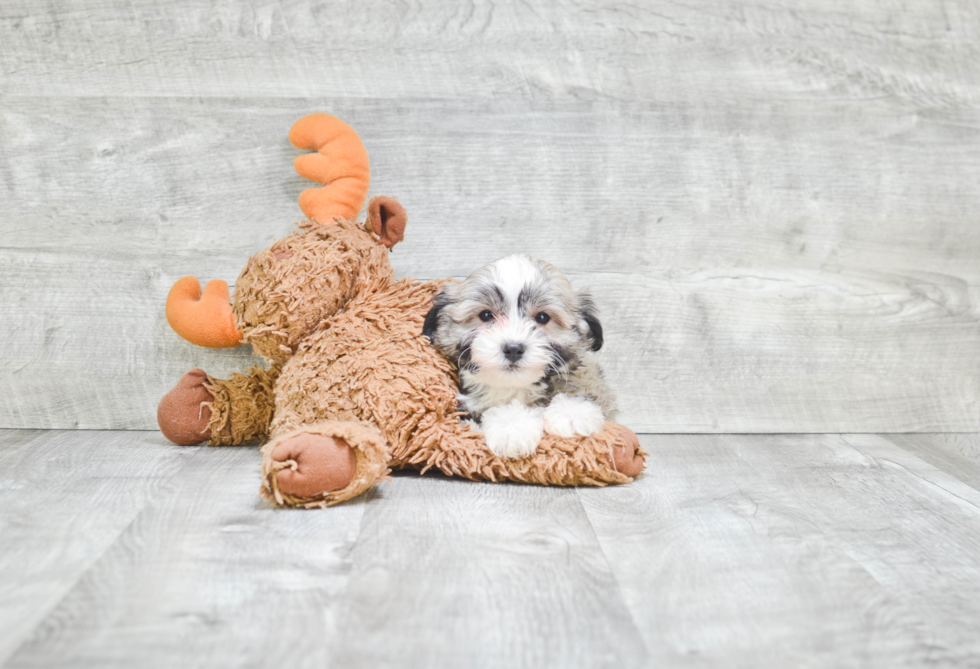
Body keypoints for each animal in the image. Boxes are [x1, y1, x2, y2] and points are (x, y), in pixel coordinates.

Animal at [420, 253, 612, 456]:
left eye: (542, 317)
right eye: (486, 315)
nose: (513, 348)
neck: (513, 386)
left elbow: (583, 381)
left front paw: (572, 412)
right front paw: (511, 427)